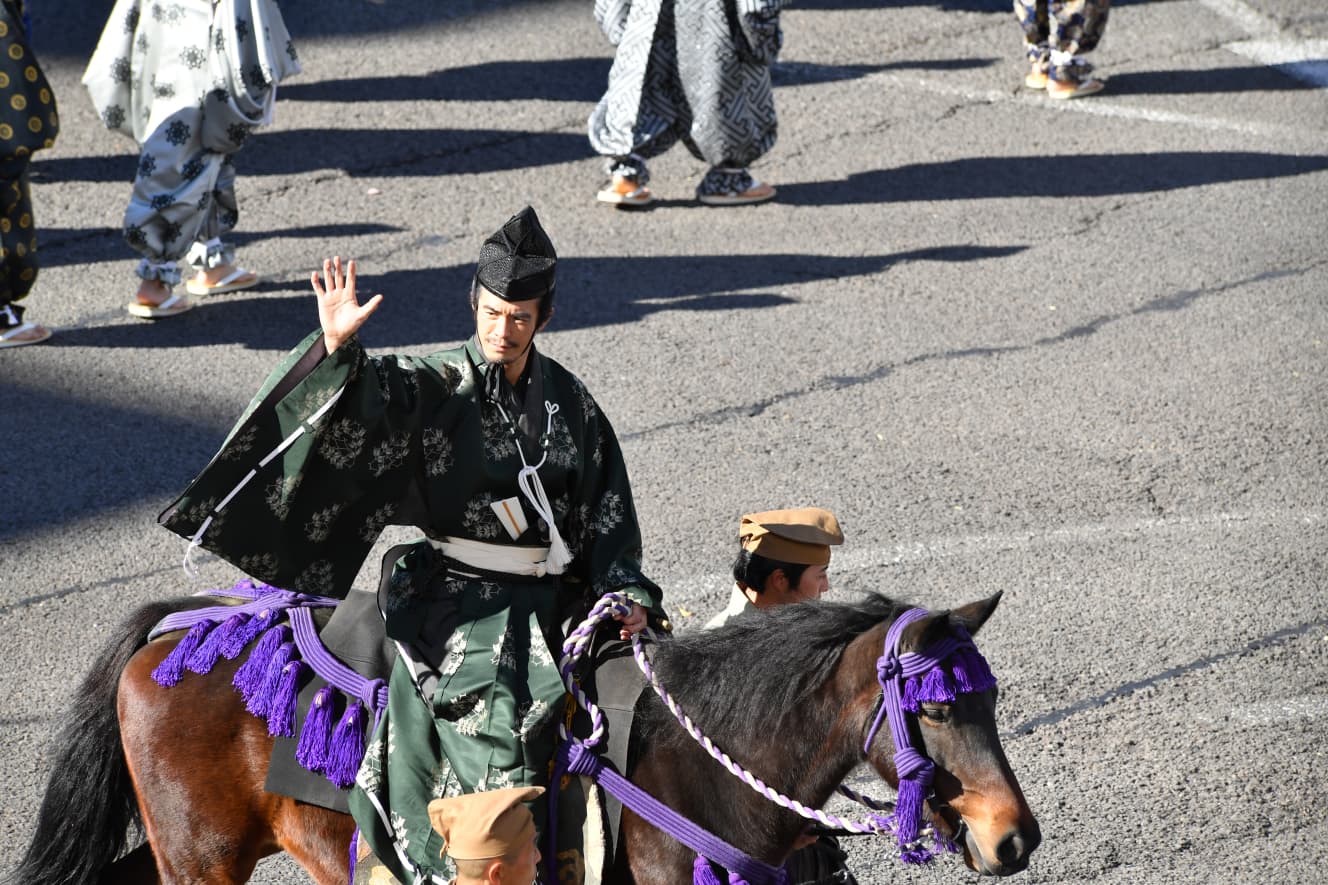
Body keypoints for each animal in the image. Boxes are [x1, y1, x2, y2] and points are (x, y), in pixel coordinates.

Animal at [10, 584, 1041, 882]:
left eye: (988, 701)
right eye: (937, 708)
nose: (1014, 836)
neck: (709, 772)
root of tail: (184, 630)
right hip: (203, 863)